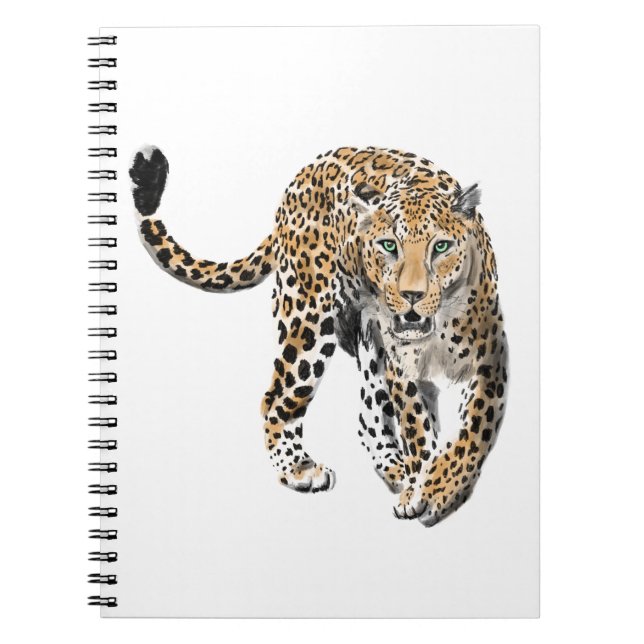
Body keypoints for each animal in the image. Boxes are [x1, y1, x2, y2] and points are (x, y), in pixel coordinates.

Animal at [129, 145, 509, 527]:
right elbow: (418, 430)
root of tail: (302, 175)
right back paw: (300, 469)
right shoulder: (403, 370)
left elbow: (473, 432)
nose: (411, 295)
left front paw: (436, 488)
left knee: (367, 416)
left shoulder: (490, 360)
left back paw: (396, 472)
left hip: (366, 344)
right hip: (308, 319)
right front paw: (424, 489)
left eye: (441, 247)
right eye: (389, 246)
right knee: (276, 398)